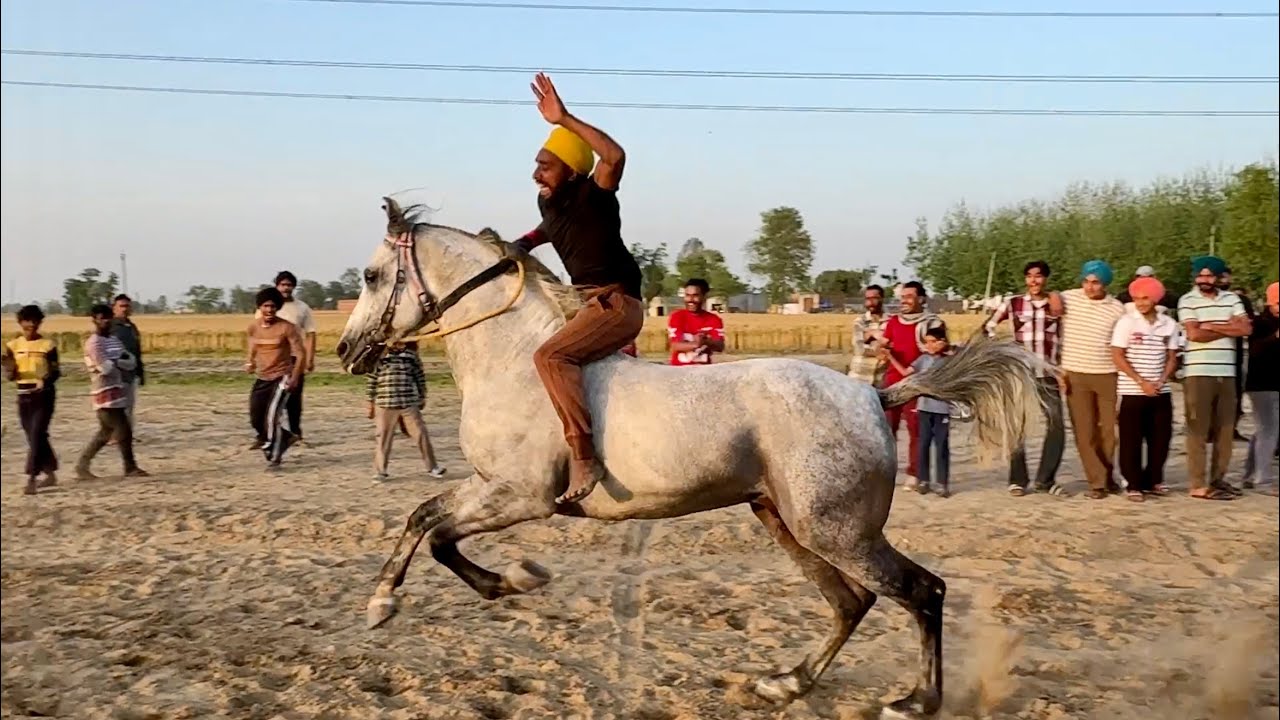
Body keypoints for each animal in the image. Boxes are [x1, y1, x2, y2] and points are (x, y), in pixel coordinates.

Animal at [336, 197, 1046, 719]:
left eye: (370, 276)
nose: (346, 350)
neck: (513, 361)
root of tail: (874, 394)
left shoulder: (520, 496)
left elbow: (433, 530)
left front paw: (474, 586)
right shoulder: (488, 487)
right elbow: (425, 520)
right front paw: (451, 591)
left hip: (836, 531)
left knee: (921, 591)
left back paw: (916, 700)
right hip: (787, 523)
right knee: (852, 603)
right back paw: (786, 683)